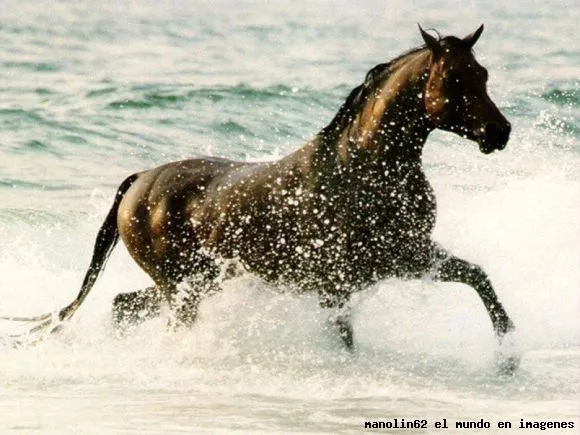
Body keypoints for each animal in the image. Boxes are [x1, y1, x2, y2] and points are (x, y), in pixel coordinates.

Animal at [2, 24, 516, 368]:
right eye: (454, 80)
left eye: (483, 73)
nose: (500, 132)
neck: (363, 168)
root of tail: (140, 181)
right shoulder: (339, 282)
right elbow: (345, 337)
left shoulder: (406, 256)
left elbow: (479, 278)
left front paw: (510, 353)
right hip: (182, 287)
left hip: (195, 282)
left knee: (123, 306)